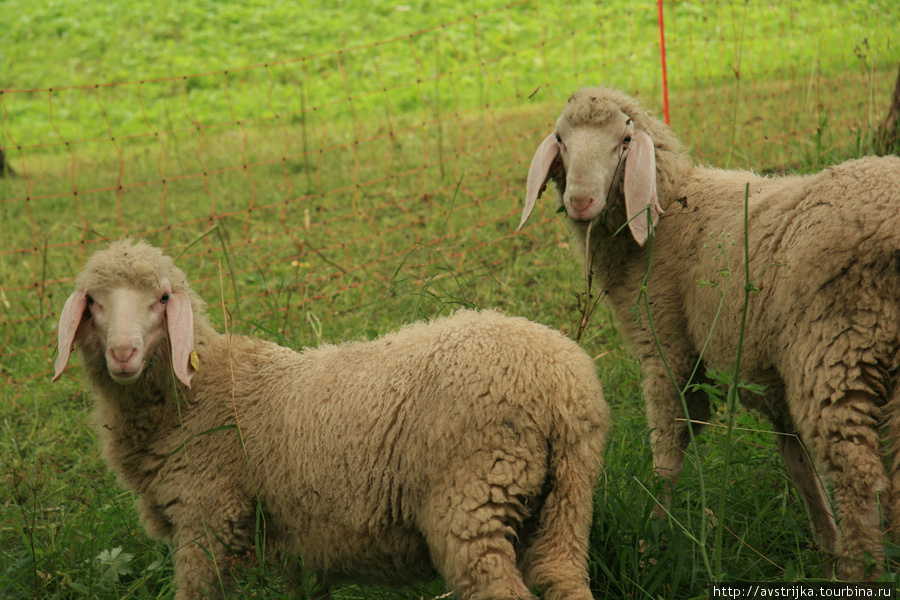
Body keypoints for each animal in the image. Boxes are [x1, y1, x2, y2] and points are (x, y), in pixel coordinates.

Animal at [51, 239, 612, 600]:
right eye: (94, 301)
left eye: (163, 299)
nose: (123, 354)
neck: (196, 394)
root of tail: (559, 383)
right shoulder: (286, 546)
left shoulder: (208, 523)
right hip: (567, 499)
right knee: (563, 577)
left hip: (472, 497)